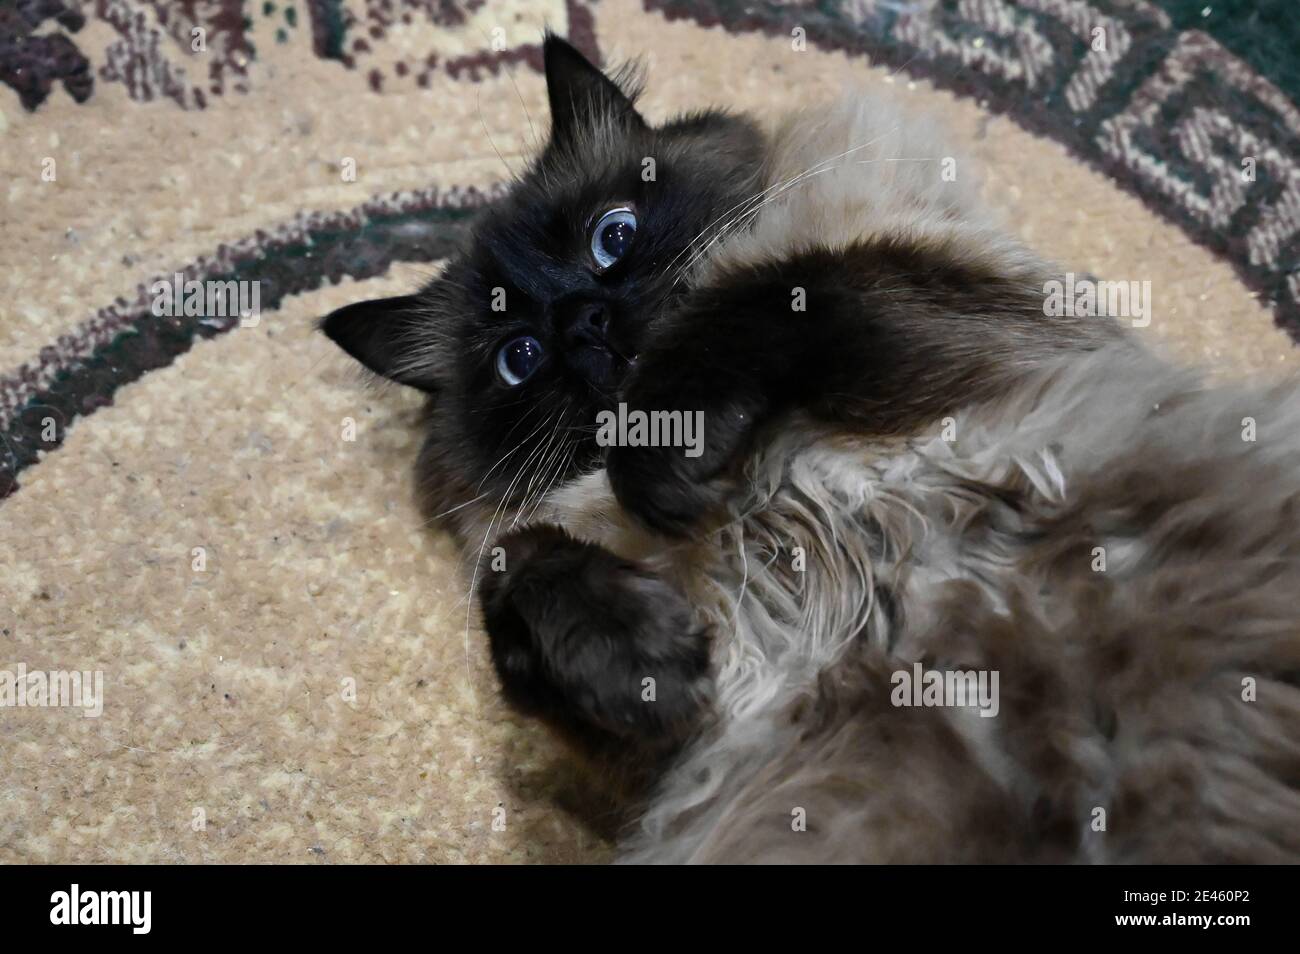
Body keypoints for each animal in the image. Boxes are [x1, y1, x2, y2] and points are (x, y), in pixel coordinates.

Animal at [319, 35, 1300, 868]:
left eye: (614, 236)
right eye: (519, 358)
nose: (584, 324)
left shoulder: (962, 340)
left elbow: (774, 294)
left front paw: (658, 470)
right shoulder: (691, 731)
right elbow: (521, 568)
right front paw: (642, 664)